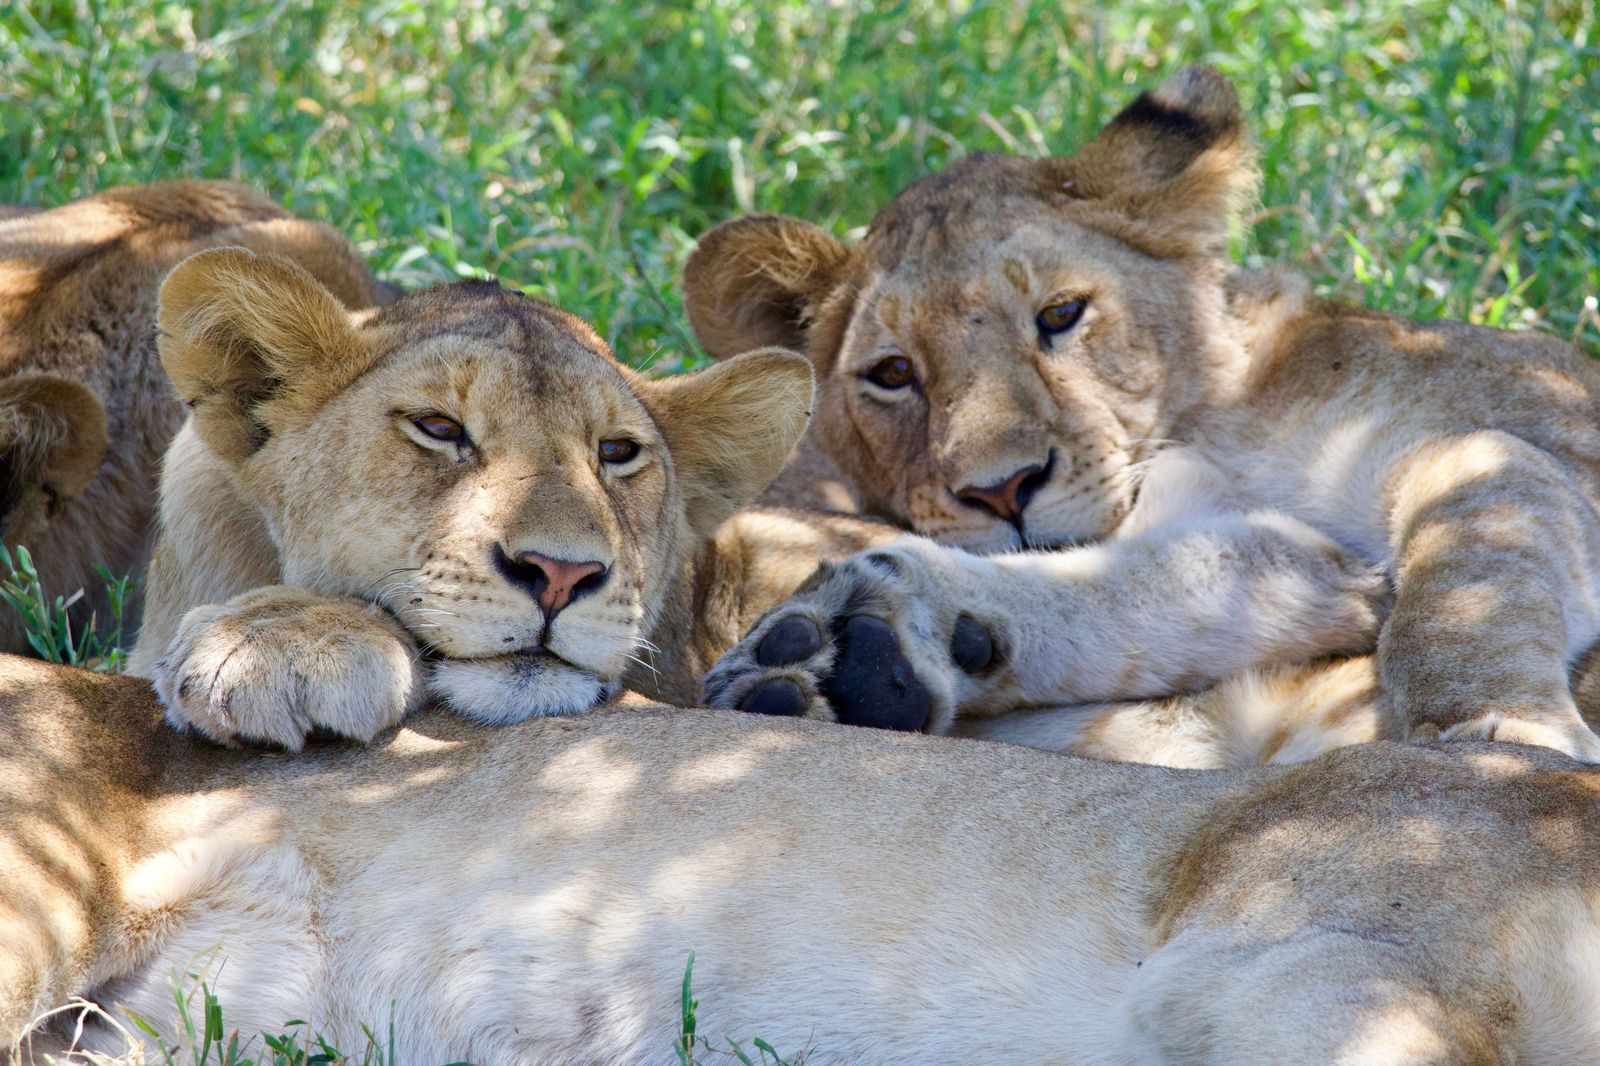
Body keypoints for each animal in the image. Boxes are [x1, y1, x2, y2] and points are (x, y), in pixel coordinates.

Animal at [686, 64, 1600, 766]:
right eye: (893, 373)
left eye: (1061, 314)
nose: (1004, 490)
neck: (1222, 423)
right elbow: (1180, 573)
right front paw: (869, 651)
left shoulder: (1542, 444)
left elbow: (1469, 570)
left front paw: (1492, 733)